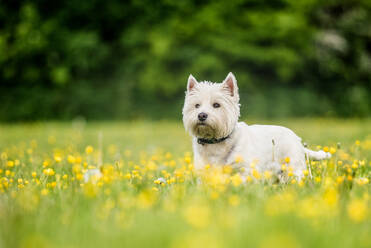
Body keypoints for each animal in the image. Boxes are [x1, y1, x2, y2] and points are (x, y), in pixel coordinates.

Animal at [183, 72, 332, 180]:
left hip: (293, 166)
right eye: (196, 105)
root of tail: (298, 140)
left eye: (216, 105)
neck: (216, 142)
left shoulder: (245, 170)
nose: (202, 115)